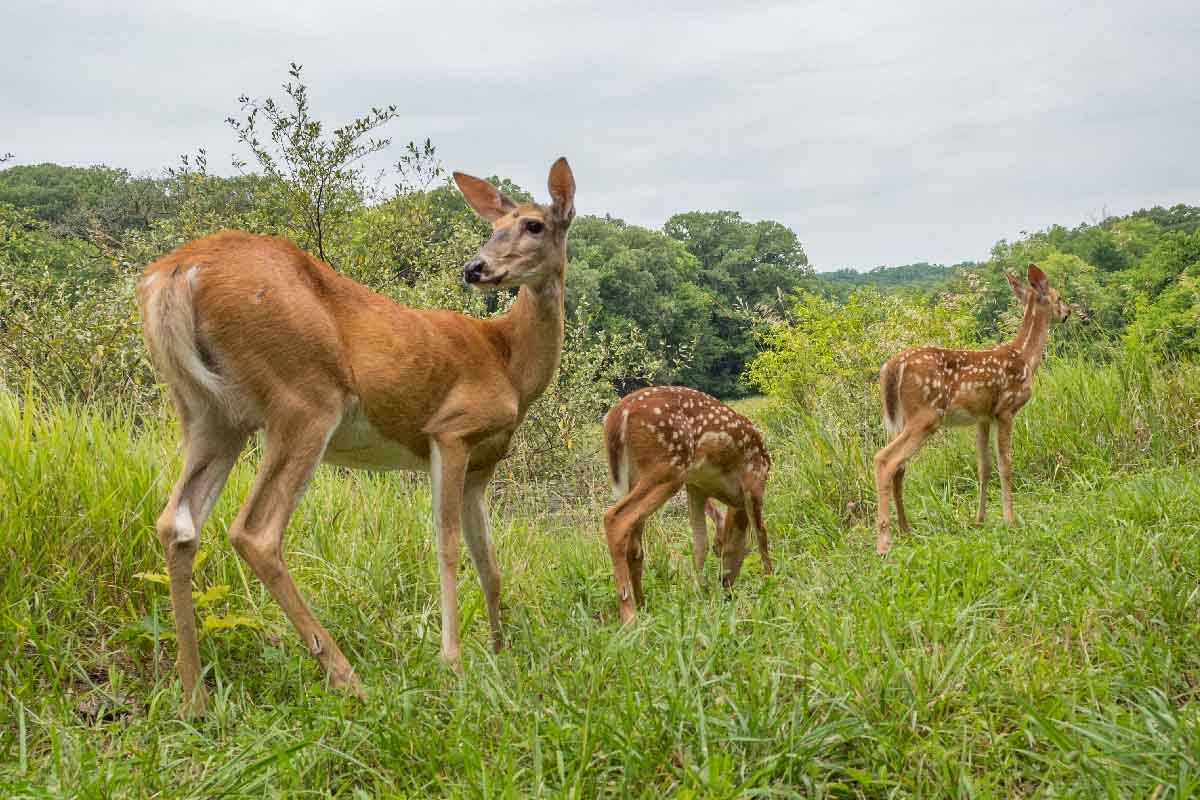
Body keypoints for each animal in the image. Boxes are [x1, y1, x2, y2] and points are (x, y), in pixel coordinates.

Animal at [136, 155, 576, 714]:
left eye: (532, 225)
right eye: (497, 226)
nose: (475, 268)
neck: (510, 361)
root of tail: (175, 272)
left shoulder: (483, 464)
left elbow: (489, 562)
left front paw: (501, 653)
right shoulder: (451, 431)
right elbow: (448, 545)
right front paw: (453, 661)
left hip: (209, 412)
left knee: (177, 523)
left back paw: (194, 696)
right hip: (303, 397)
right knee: (255, 531)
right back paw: (348, 678)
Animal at [604, 383, 772, 623]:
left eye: (718, 548)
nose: (725, 586)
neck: (733, 499)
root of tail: (618, 414)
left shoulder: (695, 488)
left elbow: (699, 543)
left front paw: (701, 594)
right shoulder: (755, 481)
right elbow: (761, 535)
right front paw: (771, 582)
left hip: (636, 475)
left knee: (634, 544)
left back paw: (643, 606)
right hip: (669, 466)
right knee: (615, 518)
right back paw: (630, 617)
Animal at [873, 266, 1070, 554]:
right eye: (1058, 297)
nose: (1068, 312)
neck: (1025, 358)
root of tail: (891, 367)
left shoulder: (983, 417)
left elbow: (984, 467)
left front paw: (980, 520)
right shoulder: (1005, 409)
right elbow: (1005, 464)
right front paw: (1010, 520)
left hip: (900, 420)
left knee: (900, 467)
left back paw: (906, 531)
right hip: (926, 416)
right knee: (885, 460)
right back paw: (884, 544)